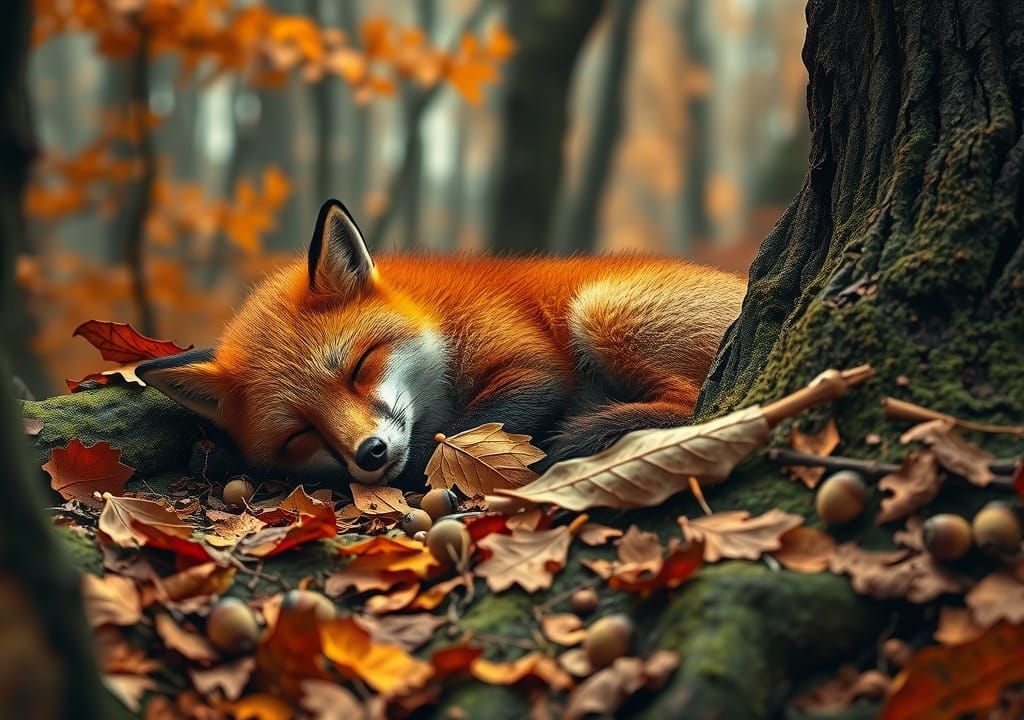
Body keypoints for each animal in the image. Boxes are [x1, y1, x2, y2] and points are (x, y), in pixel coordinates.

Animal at [137, 199, 746, 488]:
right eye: (299, 433)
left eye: (360, 366)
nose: (370, 452)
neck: (437, 315)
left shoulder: (528, 362)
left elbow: (443, 443)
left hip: (602, 311)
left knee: (690, 405)